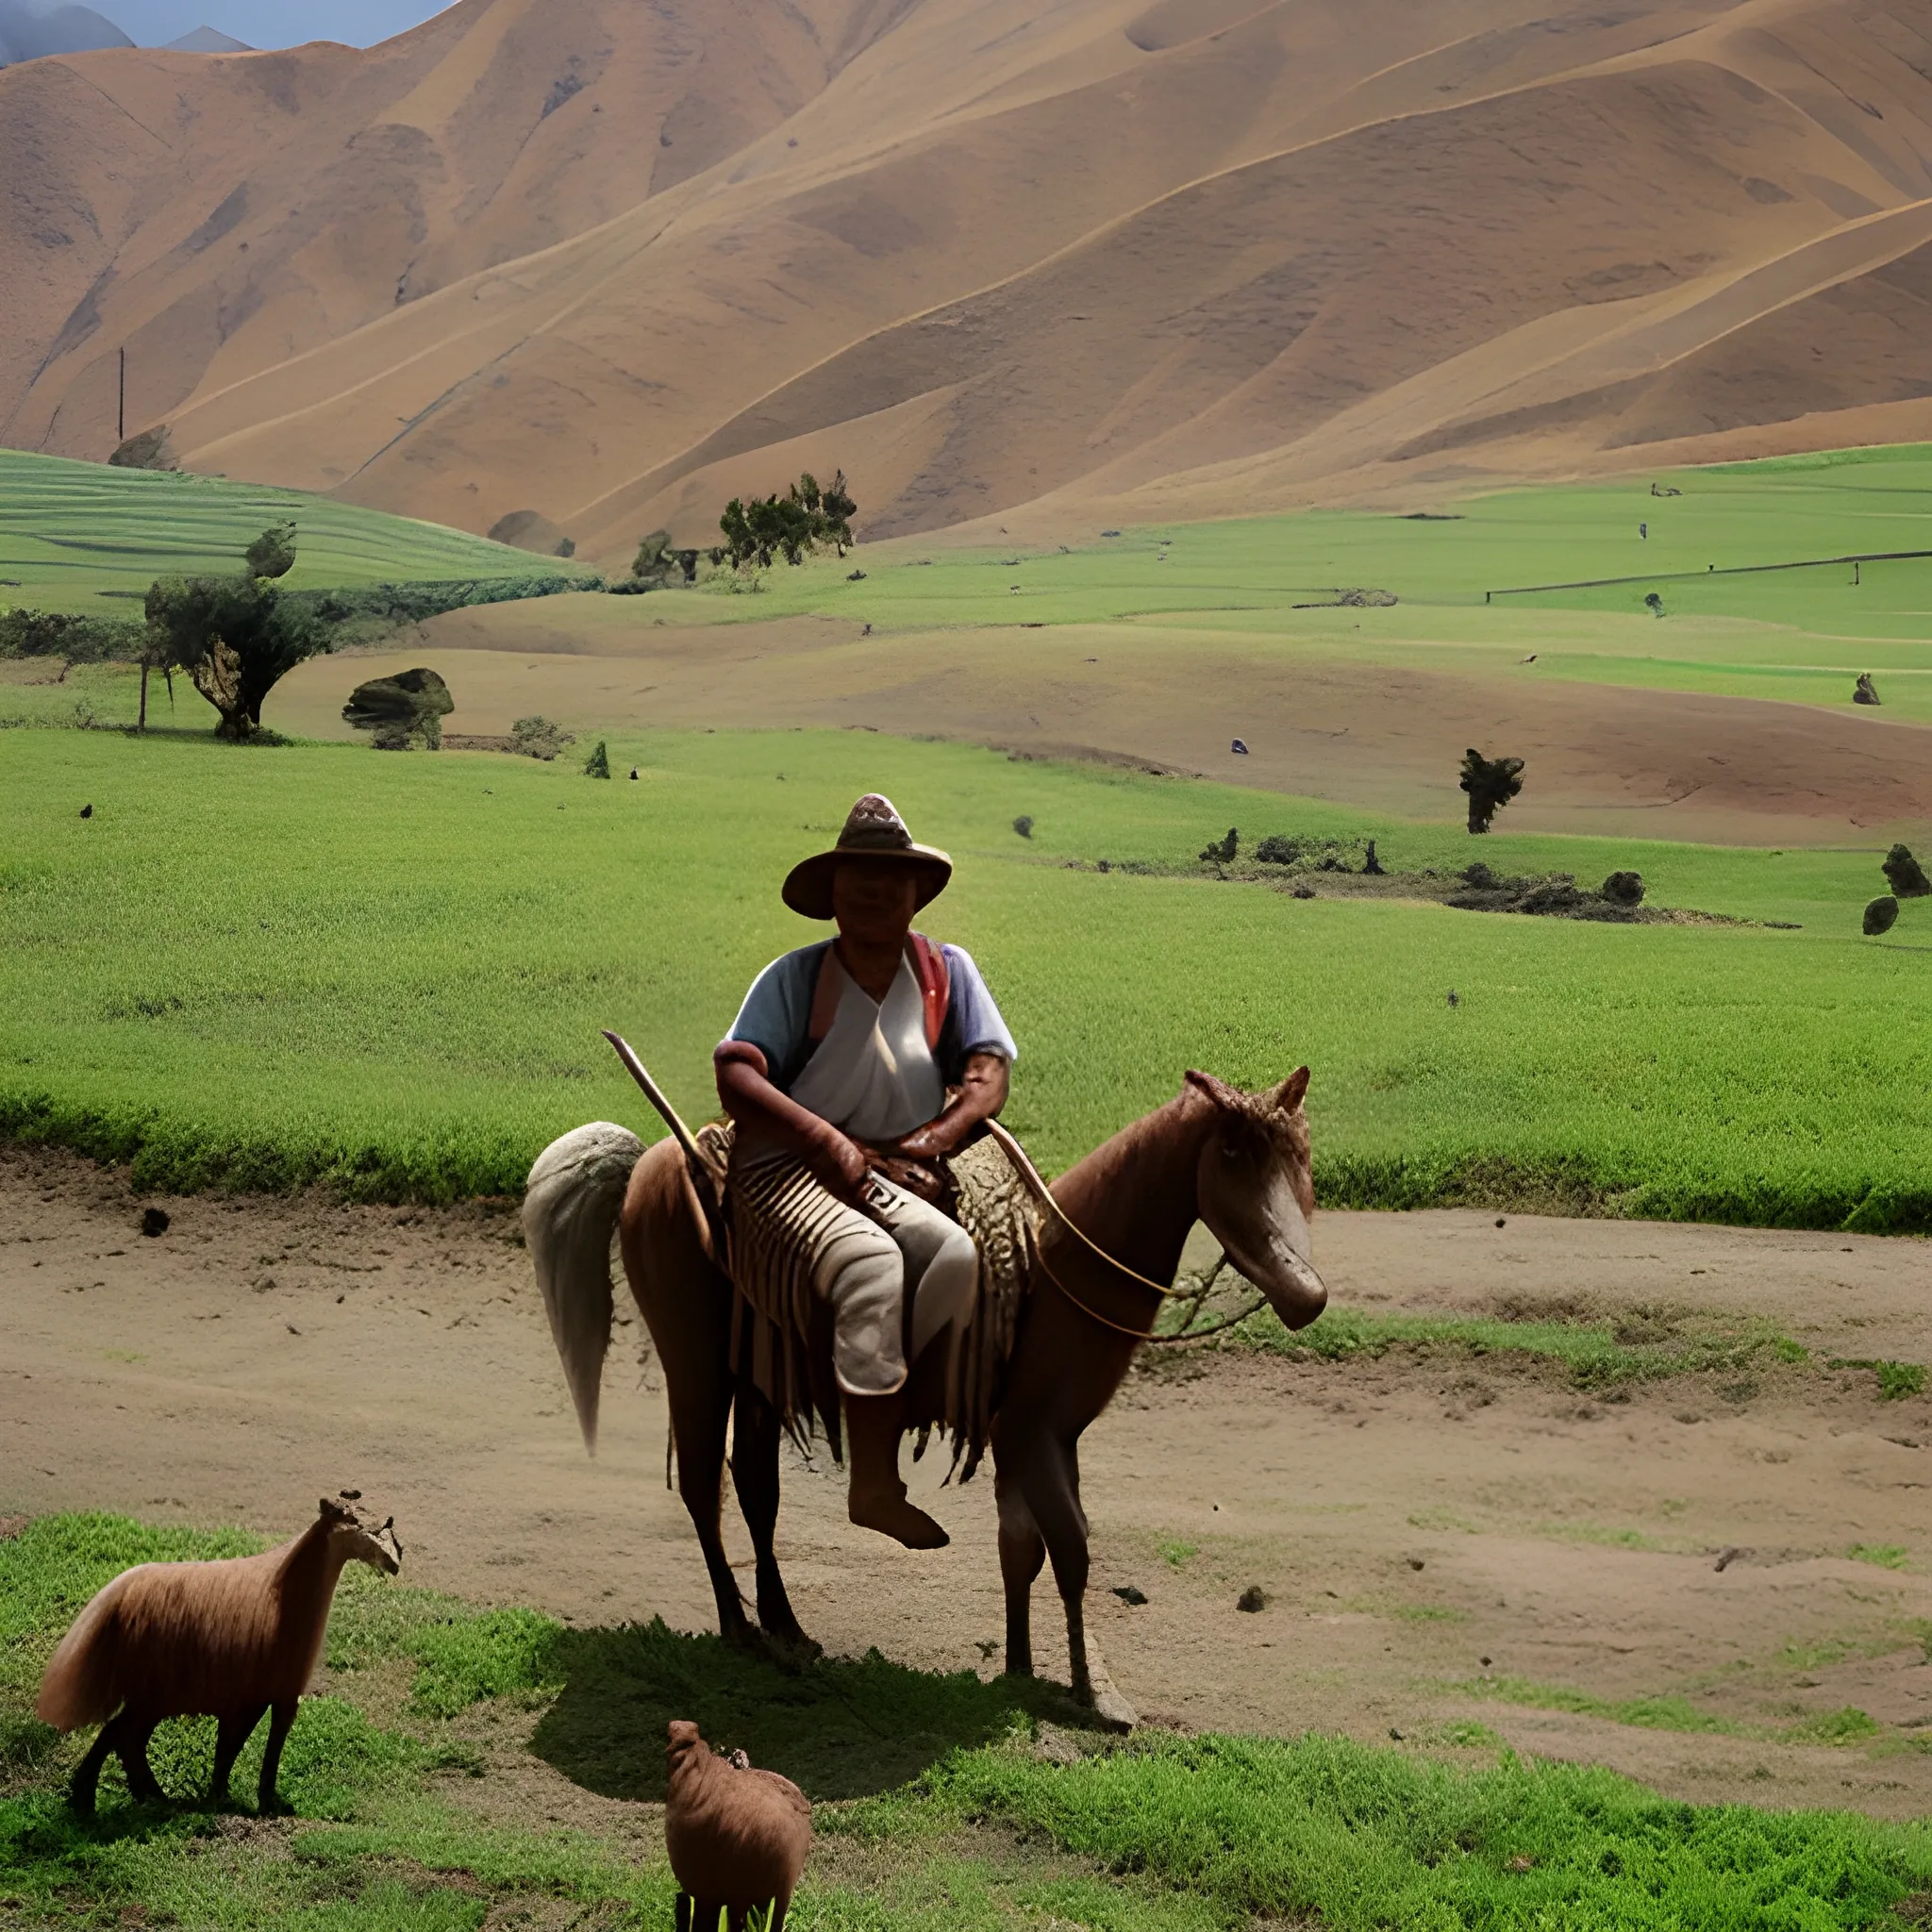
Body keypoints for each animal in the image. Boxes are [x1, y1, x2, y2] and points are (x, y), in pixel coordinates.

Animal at [35, 1491, 399, 1807]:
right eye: (348, 1518)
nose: (396, 1558)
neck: (280, 1592)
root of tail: (115, 1597)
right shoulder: (275, 1692)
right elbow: (255, 1747)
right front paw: (264, 1803)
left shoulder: (253, 1696)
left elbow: (229, 1749)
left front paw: (223, 1797)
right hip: (151, 1694)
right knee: (121, 1736)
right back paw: (102, 1799)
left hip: (152, 1698)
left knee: (125, 1739)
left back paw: (140, 1798)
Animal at [521, 1066, 1321, 1731]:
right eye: (1232, 1155)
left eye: (1302, 1162)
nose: (1308, 1296)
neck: (1055, 1269)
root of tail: (656, 1163)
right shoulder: (1033, 1433)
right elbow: (1071, 1551)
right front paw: (1094, 1695)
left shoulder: (1037, 1439)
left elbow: (1021, 1550)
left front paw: (1021, 1669)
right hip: (695, 1368)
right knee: (701, 1487)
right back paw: (742, 1629)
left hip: (756, 1379)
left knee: (753, 1487)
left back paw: (786, 1630)